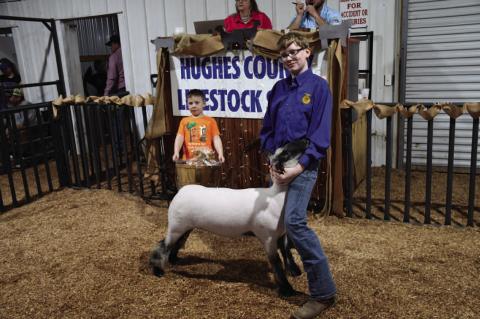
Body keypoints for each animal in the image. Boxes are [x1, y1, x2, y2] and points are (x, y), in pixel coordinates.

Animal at [148, 140, 310, 298]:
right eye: (285, 153)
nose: (307, 141)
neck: (276, 196)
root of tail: (180, 191)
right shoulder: (268, 237)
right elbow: (276, 264)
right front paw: (287, 290)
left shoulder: (281, 234)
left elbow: (285, 252)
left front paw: (293, 273)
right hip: (176, 225)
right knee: (163, 245)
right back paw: (158, 270)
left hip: (185, 226)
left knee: (175, 243)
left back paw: (174, 260)